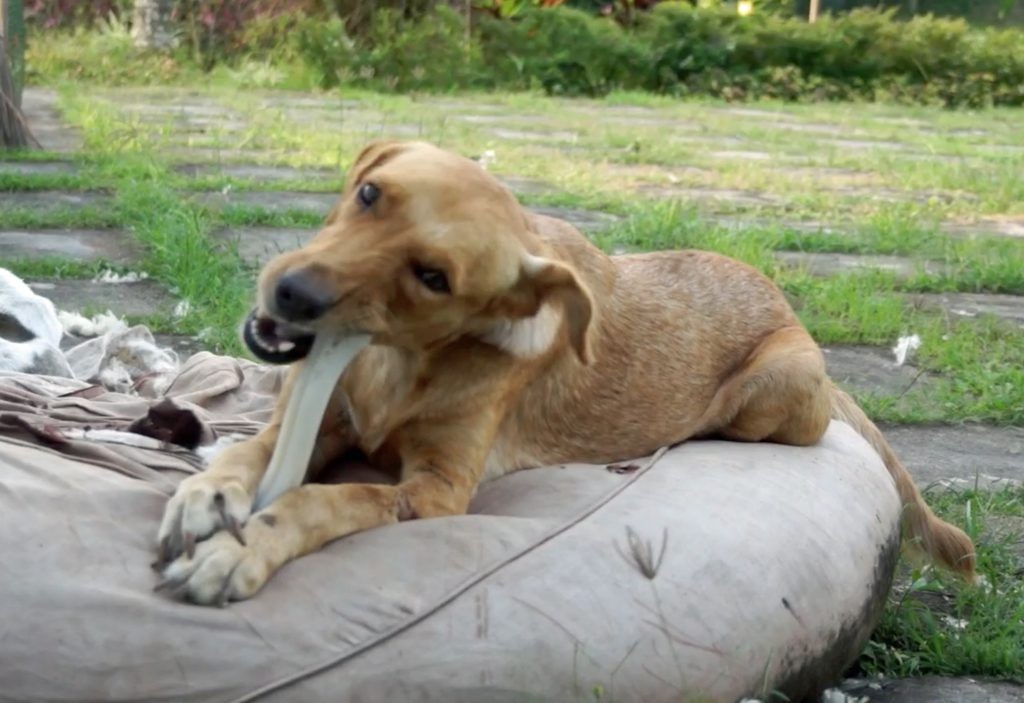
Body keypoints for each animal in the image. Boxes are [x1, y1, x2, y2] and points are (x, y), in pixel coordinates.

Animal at [153, 139, 974, 605]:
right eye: (369, 194)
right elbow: (245, 455)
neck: (397, 357)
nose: (291, 294)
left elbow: (329, 498)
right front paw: (205, 496)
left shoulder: (437, 490)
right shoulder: (311, 419)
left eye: (433, 276)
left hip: (769, 393)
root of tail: (794, 315)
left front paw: (243, 550)